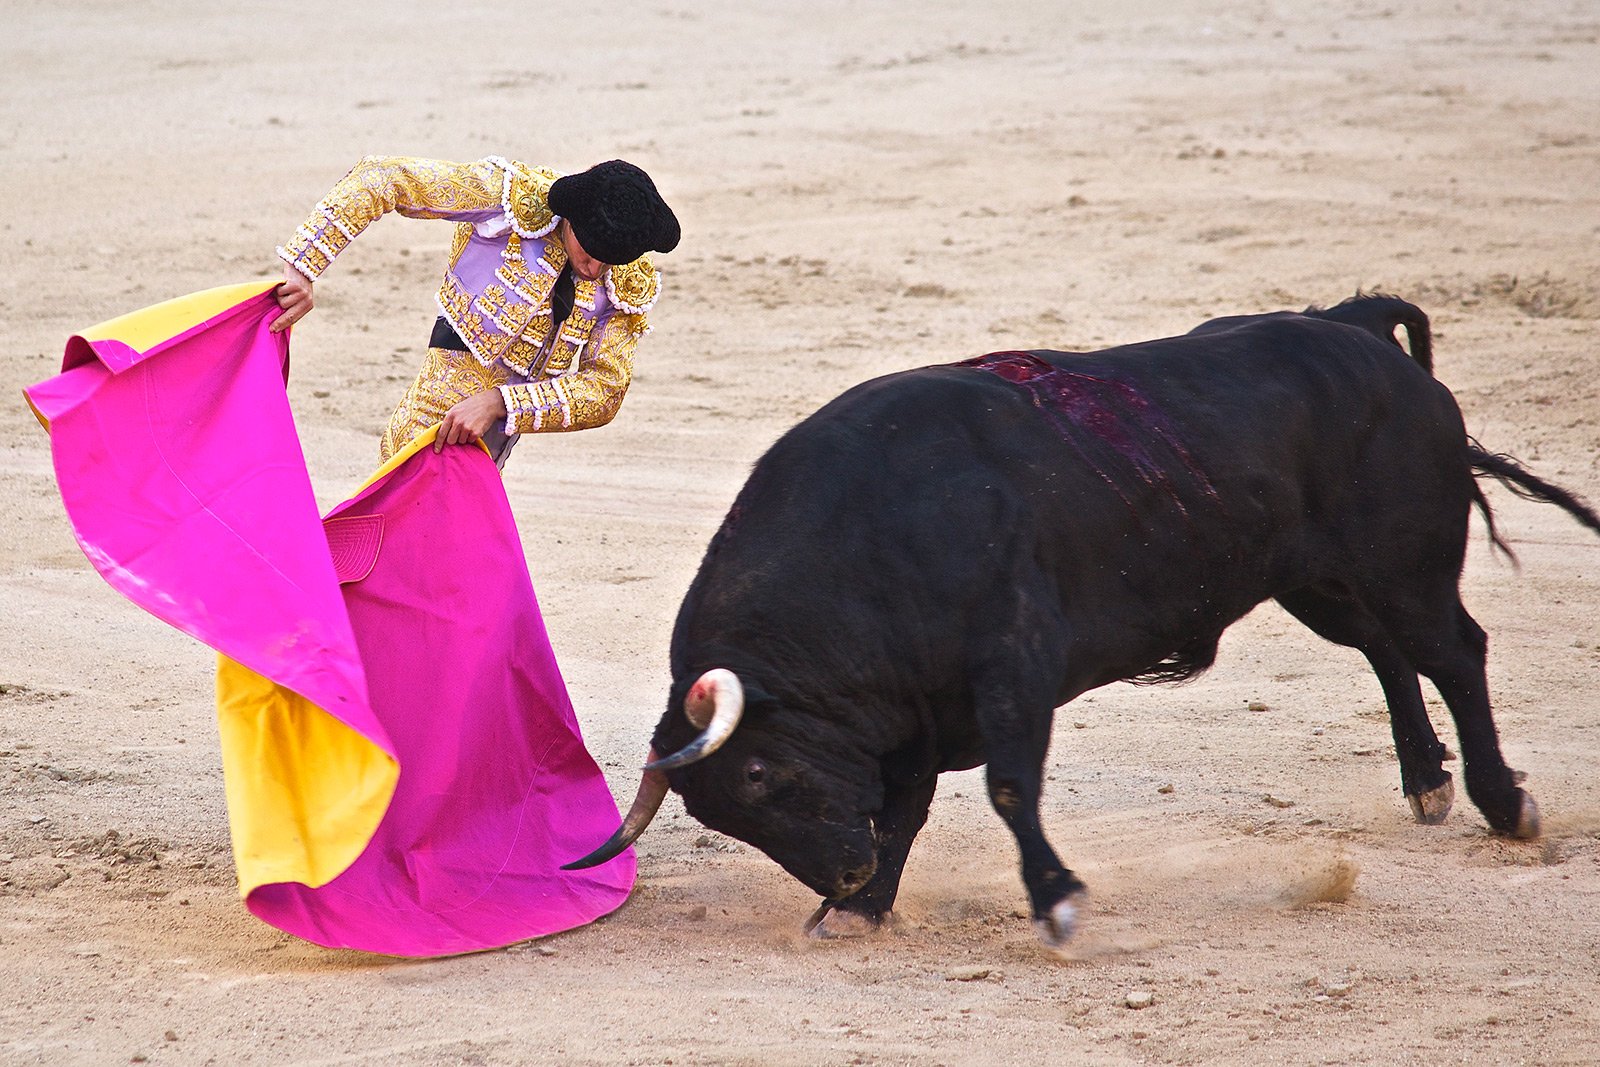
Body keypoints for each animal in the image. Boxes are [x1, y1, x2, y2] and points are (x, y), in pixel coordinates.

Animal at [566, 295, 1600, 947]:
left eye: (757, 773)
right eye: (722, 813)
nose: (844, 878)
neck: (872, 536)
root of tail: (1350, 326)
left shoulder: (1013, 667)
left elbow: (1007, 788)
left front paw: (1054, 901)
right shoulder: (914, 714)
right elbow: (905, 806)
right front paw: (866, 913)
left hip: (1402, 562)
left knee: (1454, 651)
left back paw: (1504, 804)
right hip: (1321, 580)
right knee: (1390, 652)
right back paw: (1428, 782)